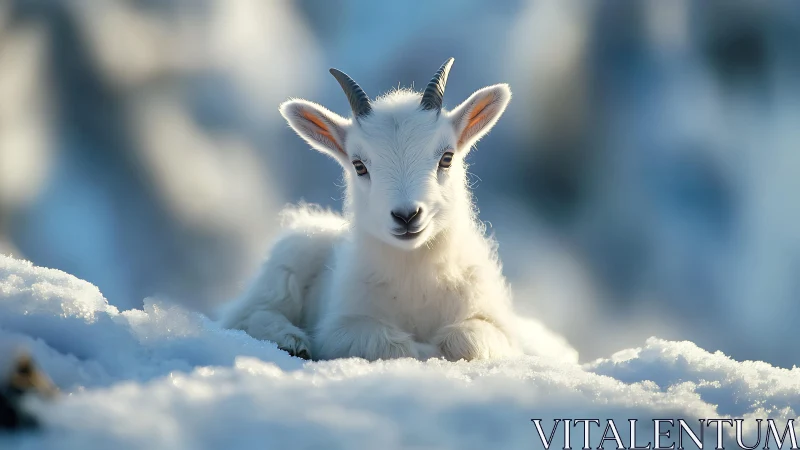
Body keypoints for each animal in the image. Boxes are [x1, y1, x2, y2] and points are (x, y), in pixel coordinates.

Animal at [222, 58, 519, 361]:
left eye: (447, 158)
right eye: (359, 165)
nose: (406, 216)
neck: (414, 278)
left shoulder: (496, 326)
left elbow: (464, 341)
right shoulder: (340, 329)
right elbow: (393, 345)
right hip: (290, 258)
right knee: (248, 313)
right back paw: (289, 339)